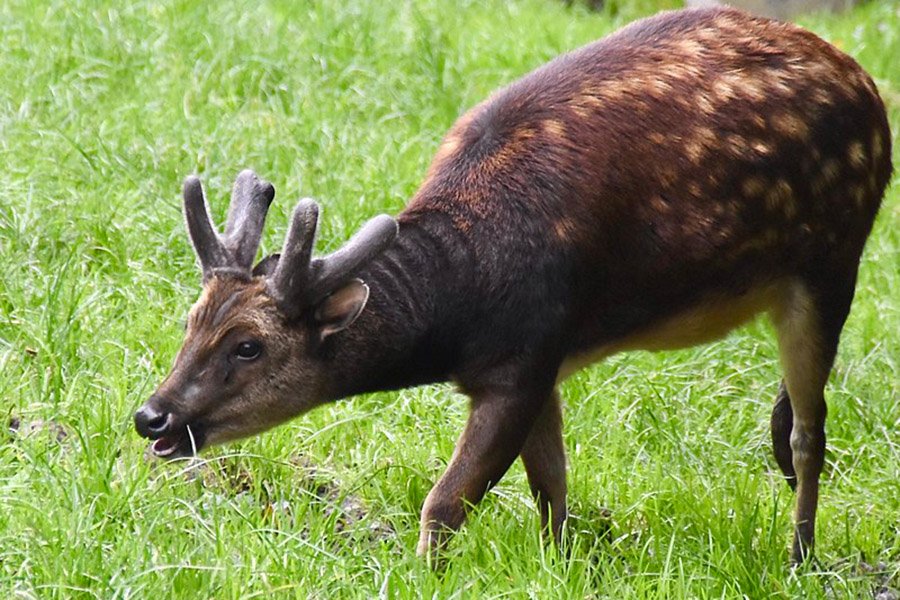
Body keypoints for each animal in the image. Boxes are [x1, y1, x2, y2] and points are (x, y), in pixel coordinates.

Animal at [134, 6, 892, 564]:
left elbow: (447, 501)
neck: (467, 302)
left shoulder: (522, 356)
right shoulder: (543, 359)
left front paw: (424, 574)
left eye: (250, 347)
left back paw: (800, 557)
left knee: (810, 431)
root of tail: (867, 86)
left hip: (833, 260)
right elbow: (550, 482)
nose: (153, 416)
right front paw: (563, 564)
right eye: (190, 320)